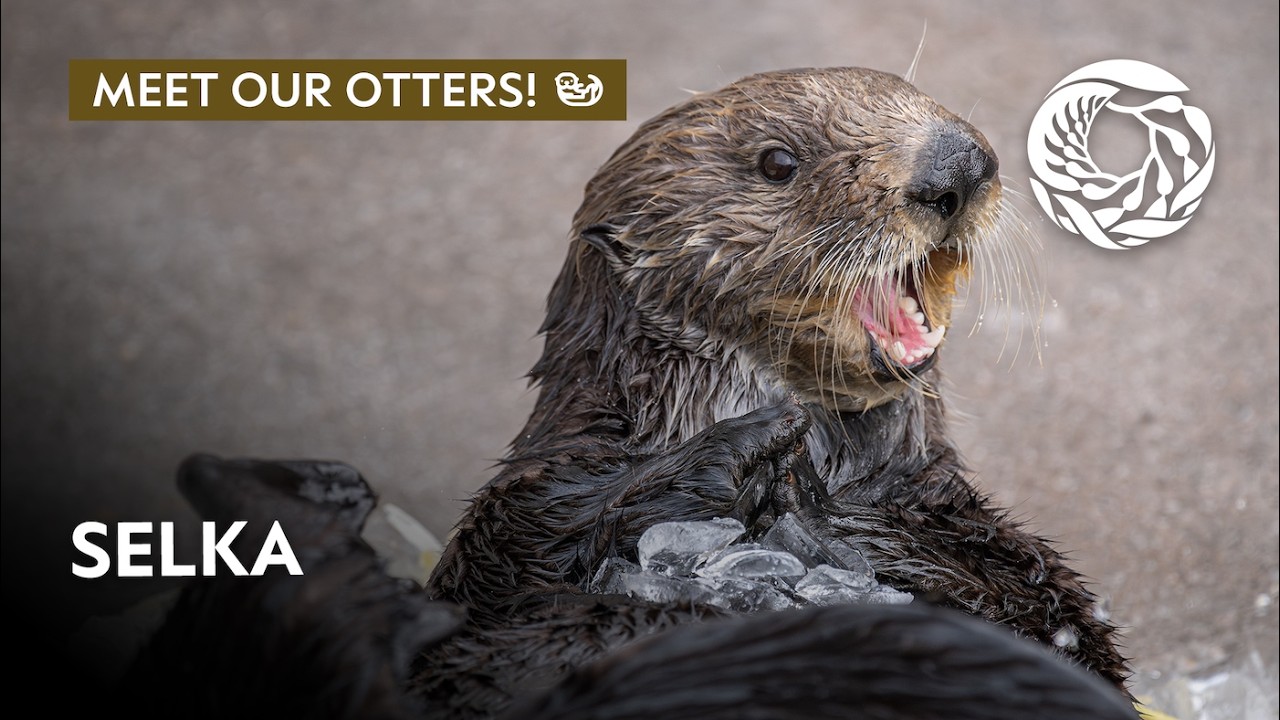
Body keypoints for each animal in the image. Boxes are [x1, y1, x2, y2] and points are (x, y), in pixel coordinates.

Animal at [115, 67, 1135, 719]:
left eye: (931, 106)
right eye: (778, 163)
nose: (956, 167)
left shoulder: (965, 533)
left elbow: (1053, 615)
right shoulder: (534, 506)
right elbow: (525, 564)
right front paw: (756, 443)